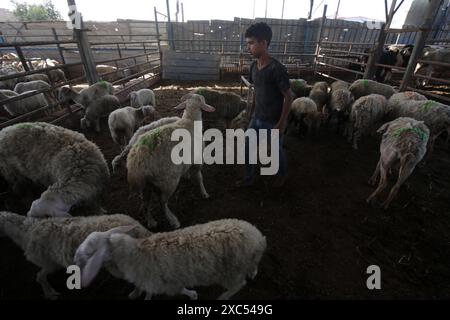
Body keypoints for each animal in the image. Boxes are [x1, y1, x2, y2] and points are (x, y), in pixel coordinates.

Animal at [0, 211, 151, 298]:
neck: (26, 230)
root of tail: (141, 231)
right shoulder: (49, 262)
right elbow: (40, 276)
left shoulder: (49, 262)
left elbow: (40, 276)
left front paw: (50, 293)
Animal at [74, 218, 268, 300]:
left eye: (89, 250)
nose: (74, 260)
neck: (132, 253)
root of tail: (258, 238)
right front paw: (136, 294)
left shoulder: (166, 283)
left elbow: (180, 290)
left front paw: (192, 295)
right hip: (245, 261)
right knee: (252, 267)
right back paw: (253, 271)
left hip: (230, 274)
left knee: (238, 285)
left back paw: (223, 297)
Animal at [125, 94, 213, 229]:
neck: (189, 121)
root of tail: (136, 164)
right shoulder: (198, 160)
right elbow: (199, 178)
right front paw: (204, 193)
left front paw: (187, 176)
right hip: (167, 181)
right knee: (162, 202)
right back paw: (173, 220)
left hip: (146, 184)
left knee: (145, 202)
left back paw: (151, 221)